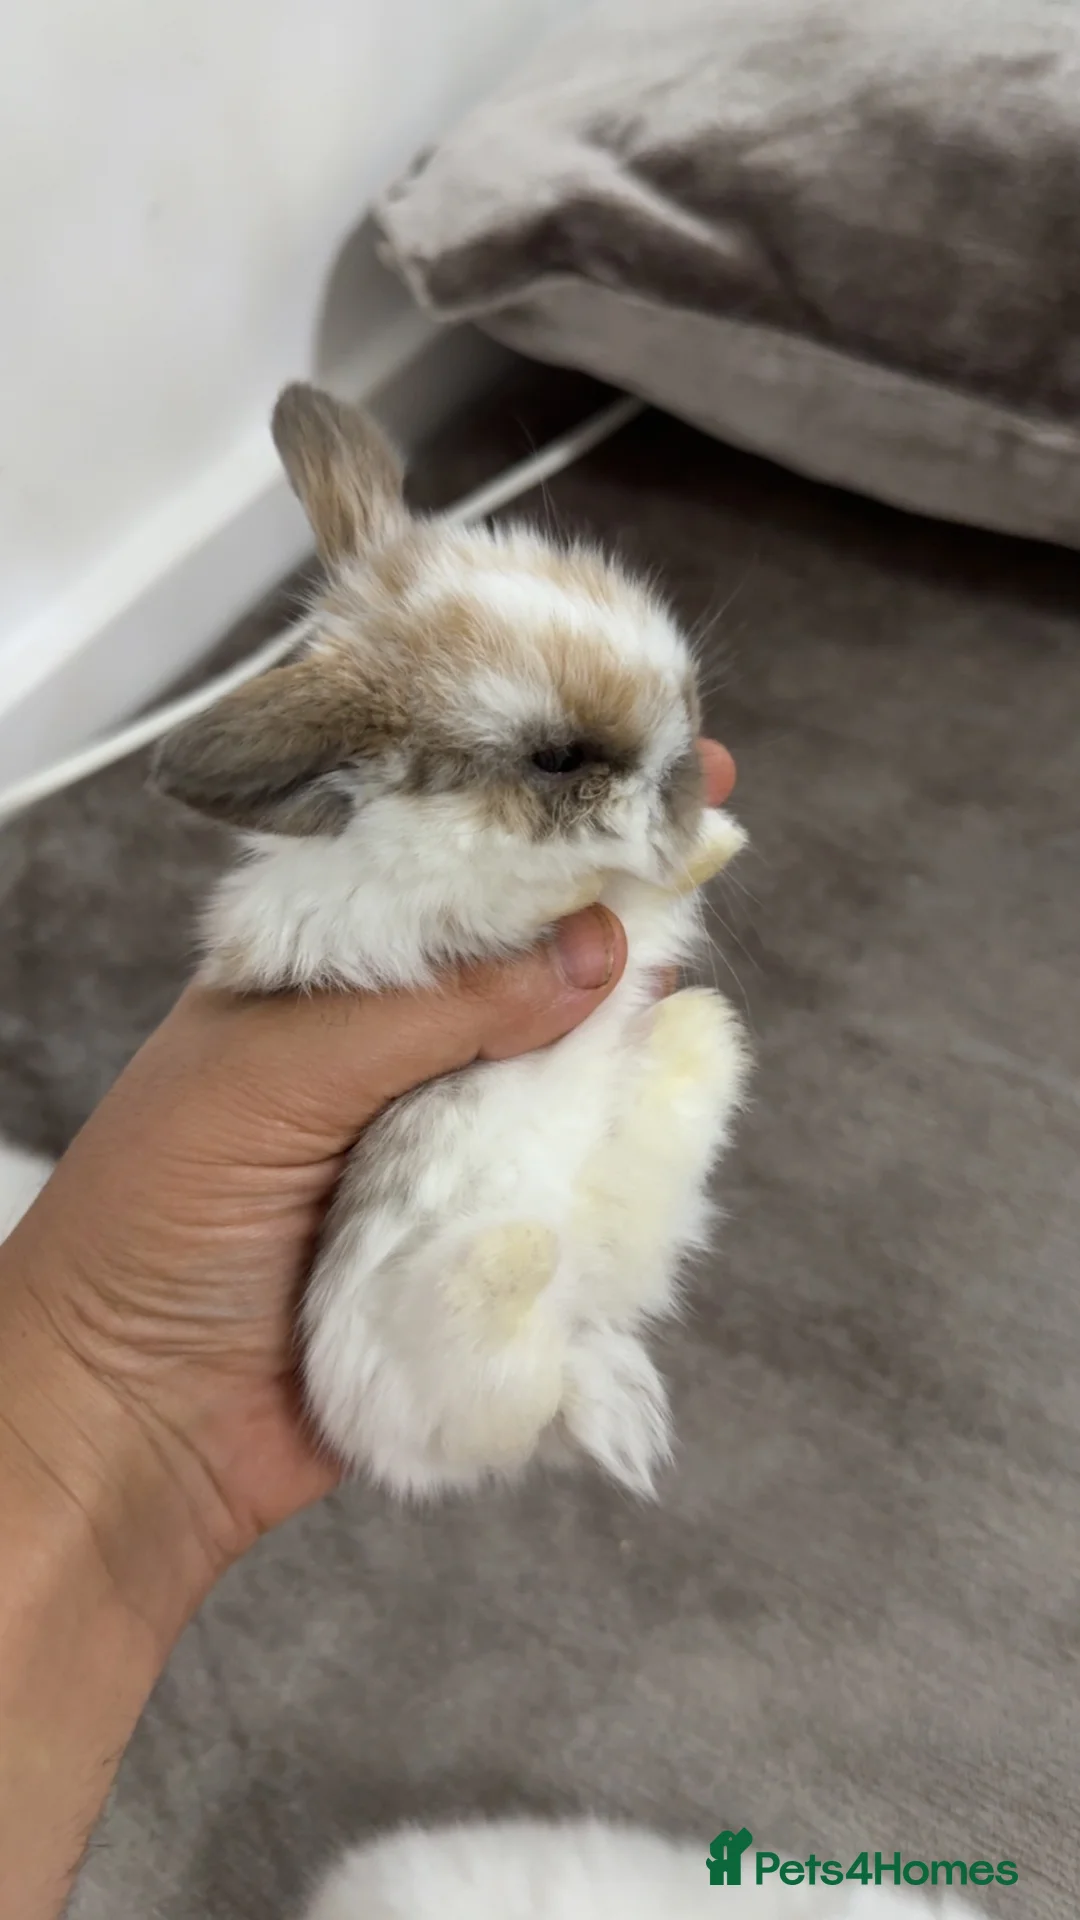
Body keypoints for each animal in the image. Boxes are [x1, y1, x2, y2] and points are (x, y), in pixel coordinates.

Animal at [151, 383, 749, 1500]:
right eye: (557, 757)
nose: (689, 767)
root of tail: (576, 1371)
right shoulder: (437, 915)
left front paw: (719, 840)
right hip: (395, 1357)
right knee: (492, 1401)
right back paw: (509, 1265)